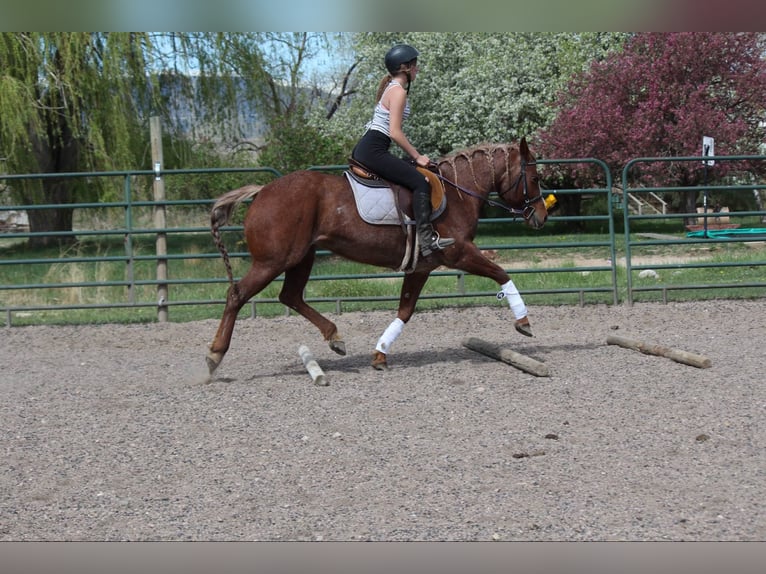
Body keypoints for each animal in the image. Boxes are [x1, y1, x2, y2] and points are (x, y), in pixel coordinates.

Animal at [205, 137, 548, 376]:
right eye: (535, 179)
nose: (541, 217)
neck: (457, 193)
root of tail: (263, 190)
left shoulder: (421, 267)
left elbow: (405, 311)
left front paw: (380, 354)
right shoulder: (459, 253)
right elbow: (502, 273)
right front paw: (524, 321)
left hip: (302, 257)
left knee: (290, 296)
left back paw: (335, 337)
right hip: (273, 261)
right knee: (237, 295)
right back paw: (214, 355)